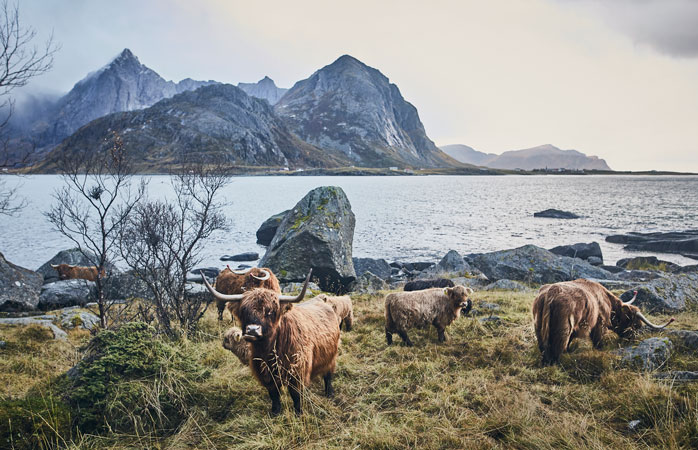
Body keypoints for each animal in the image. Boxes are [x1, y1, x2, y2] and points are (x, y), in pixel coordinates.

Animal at [198, 268, 340, 416]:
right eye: (244, 311)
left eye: (270, 312)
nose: (252, 330)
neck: (269, 349)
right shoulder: (265, 373)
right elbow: (274, 394)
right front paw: (275, 412)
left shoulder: (296, 371)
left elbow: (295, 395)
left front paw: (298, 413)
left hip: (331, 356)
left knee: (328, 375)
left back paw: (329, 393)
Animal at [532, 278, 672, 366]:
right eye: (636, 325)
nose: (631, 339)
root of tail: (551, 293)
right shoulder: (600, 323)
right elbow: (598, 340)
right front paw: (600, 349)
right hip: (563, 327)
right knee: (559, 346)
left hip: (538, 325)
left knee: (544, 346)